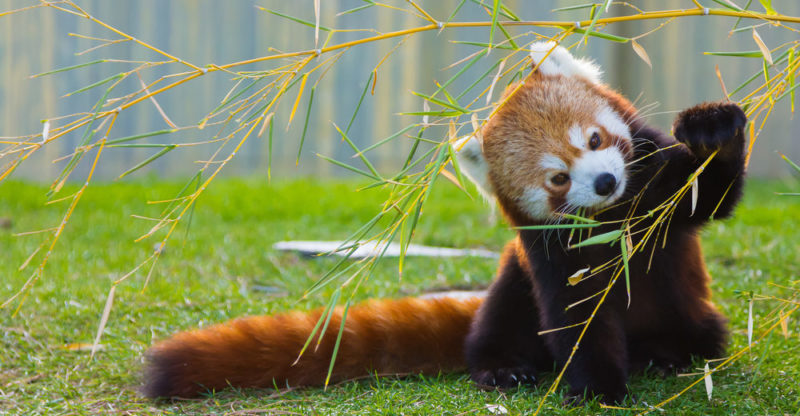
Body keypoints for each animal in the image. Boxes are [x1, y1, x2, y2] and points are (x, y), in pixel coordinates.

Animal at [142, 44, 744, 404]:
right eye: (557, 178)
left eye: (594, 139)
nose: (603, 182)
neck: (612, 219)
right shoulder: (549, 254)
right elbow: (576, 317)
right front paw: (595, 387)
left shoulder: (657, 192)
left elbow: (708, 196)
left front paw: (712, 128)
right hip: (511, 285)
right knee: (499, 323)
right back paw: (503, 367)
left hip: (694, 314)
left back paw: (666, 354)